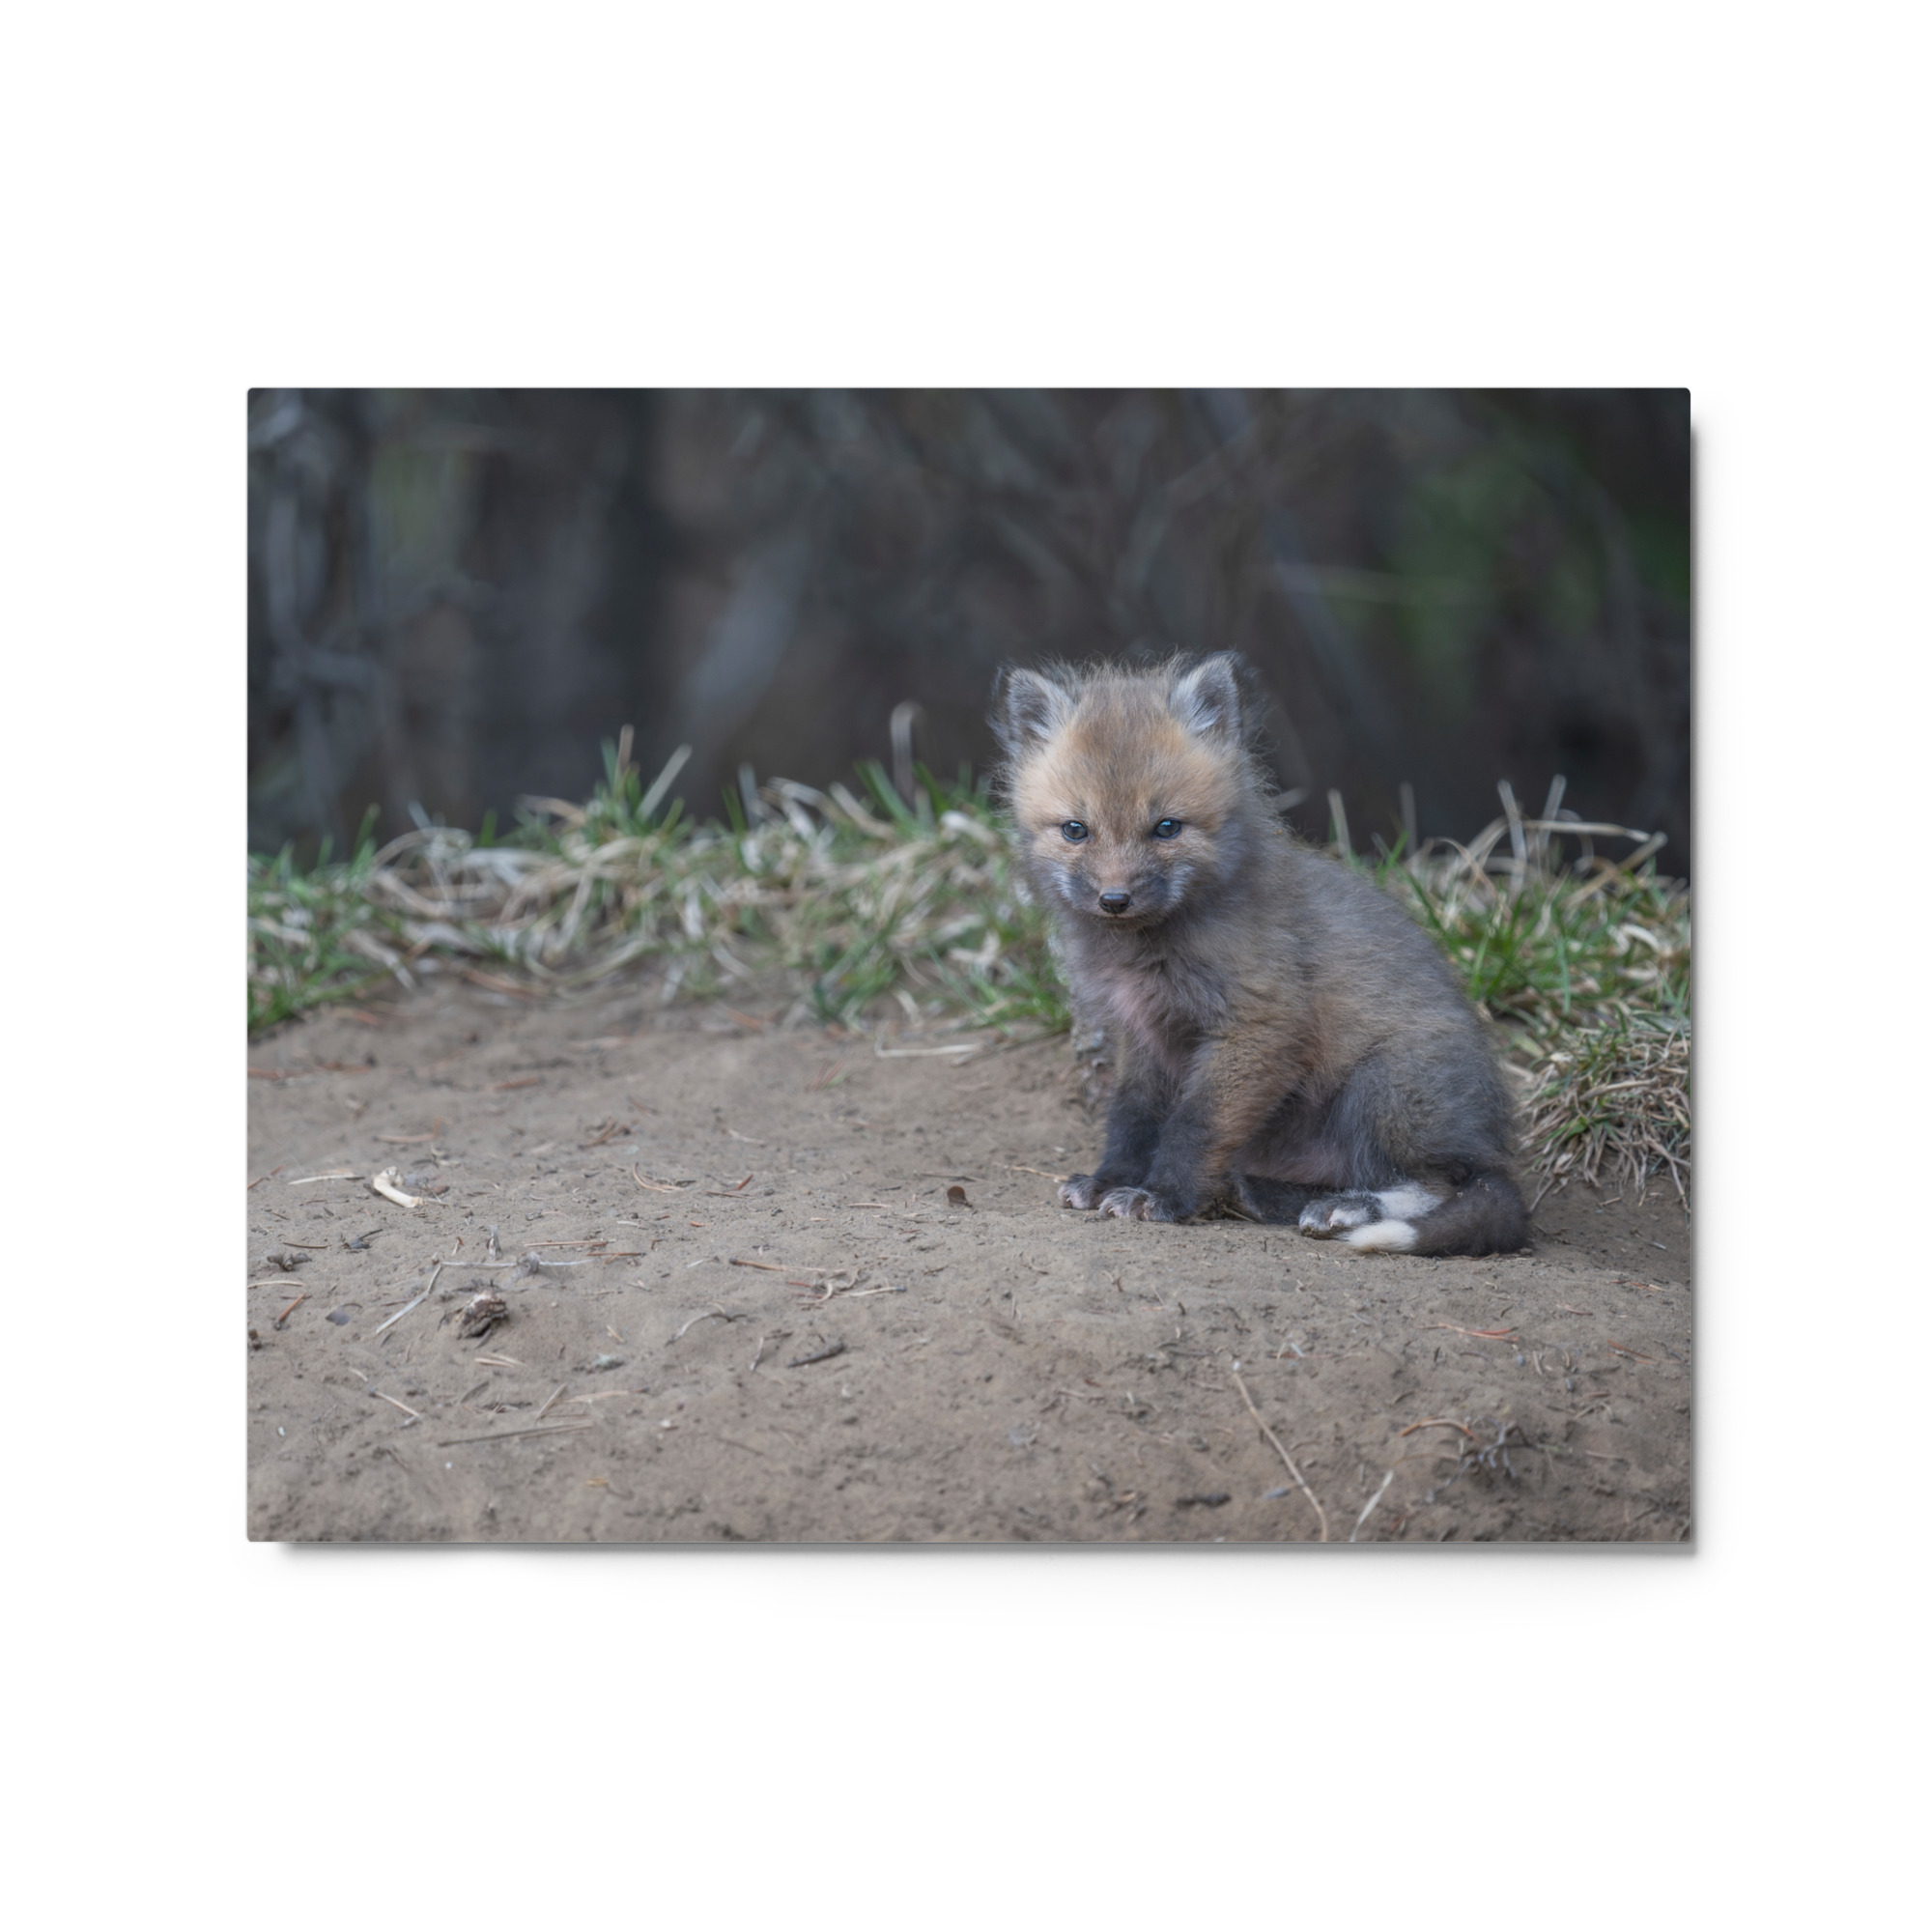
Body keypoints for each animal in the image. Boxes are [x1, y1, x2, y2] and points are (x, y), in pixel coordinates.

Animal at [992, 651, 1529, 1256]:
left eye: (1167, 828)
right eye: (1076, 830)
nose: (1114, 899)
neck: (1147, 951)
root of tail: (1492, 1144)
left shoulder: (1259, 1024)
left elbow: (1194, 1125)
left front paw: (1163, 1197)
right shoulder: (1144, 1034)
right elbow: (1132, 1118)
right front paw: (1111, 1180)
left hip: (1384, 1087)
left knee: (1443, 1184)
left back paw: (1348, 1208)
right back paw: (1268, 1195)